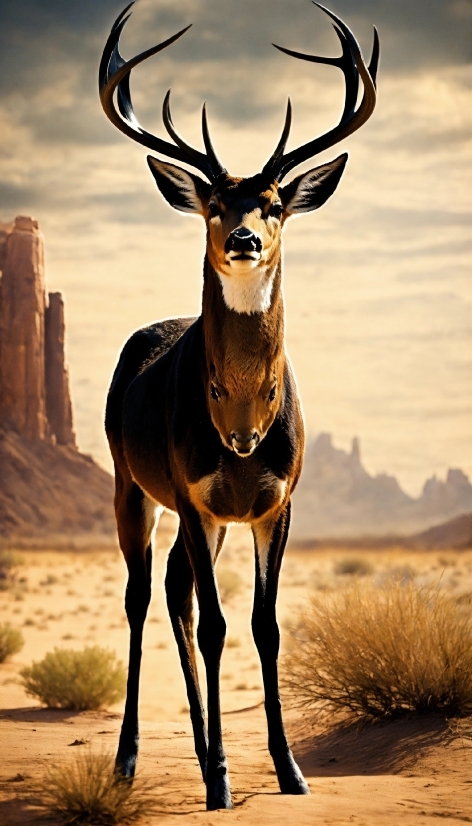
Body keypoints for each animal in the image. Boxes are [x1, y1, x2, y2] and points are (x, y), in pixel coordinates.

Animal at [100, 1, 380, 812]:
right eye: (217, 203)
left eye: (277, 200)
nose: (248, 239)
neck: (242, 424)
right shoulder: (194, 496)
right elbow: (221, 625)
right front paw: (224, 779)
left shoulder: (271, 503)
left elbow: (264, 626)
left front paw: (289, 770)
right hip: (132, 487)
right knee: (143, 596)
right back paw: (134, 759)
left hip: (211, 519)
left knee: (175, 591)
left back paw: (200, 750)